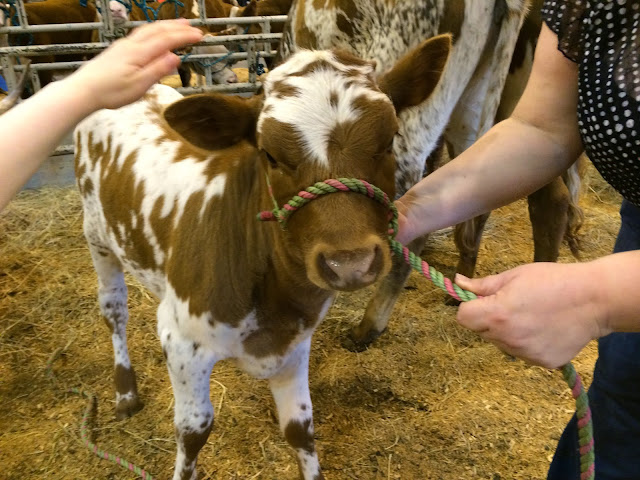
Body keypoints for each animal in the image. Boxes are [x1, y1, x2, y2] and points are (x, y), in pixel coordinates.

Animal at [74, 34, 452, 480]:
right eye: (270, 155)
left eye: (390, 139)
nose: (350, 263)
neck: (273, 300)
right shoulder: (180, 339)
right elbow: (193, 430)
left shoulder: (295, 341)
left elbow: (300, 427)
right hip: (97, 235)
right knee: (114, 310)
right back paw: (126, 393)